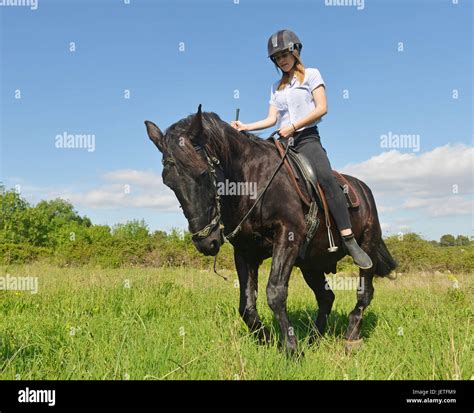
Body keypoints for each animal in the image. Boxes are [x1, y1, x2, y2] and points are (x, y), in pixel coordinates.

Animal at [145, 104, 396, 352]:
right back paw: (314, 338)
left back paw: (351, 336)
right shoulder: (245, 251)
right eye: (168, 183)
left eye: (203, 173)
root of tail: (364, 189)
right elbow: (246, 305)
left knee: (364, 293)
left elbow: (275, 293)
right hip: (311, 264)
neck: (251, 181)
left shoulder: (287, 236)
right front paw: (266, 340)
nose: (206, 242)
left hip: (367, 247)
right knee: (326, 297)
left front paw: (291, 349)